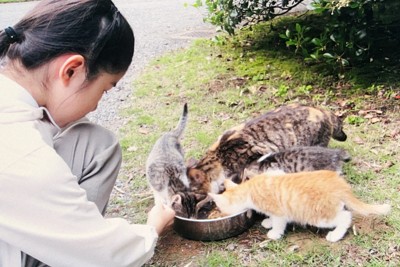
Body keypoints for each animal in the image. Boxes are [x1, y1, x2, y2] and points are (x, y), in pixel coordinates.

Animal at [209, 172, 390, 243]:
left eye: (221, 210)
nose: (220, 214)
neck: (249, 189)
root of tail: (339, 184)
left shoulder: (279, 211)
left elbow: (279, 223)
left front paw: (274, 233)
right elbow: (272, 218)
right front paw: (268, 222)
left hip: (319, 215)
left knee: (345, 217)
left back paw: (335, 235)